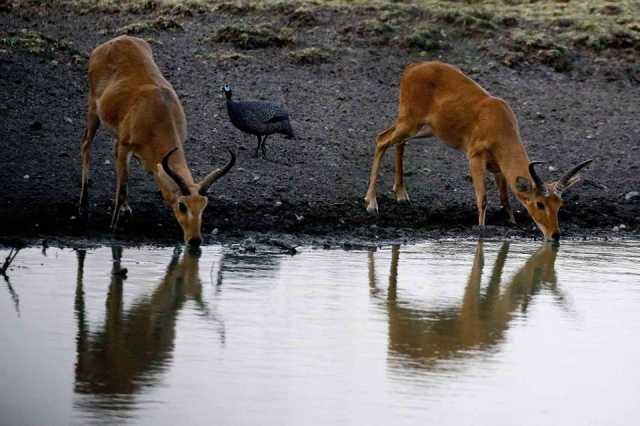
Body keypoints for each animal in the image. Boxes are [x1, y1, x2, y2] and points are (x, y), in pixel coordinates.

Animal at [79, 35, 235, 246]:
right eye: (182, 205)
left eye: (203, 206)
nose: (195, 240)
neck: (157, 112)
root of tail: (116, 40)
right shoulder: (125, 146)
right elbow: (121, 190)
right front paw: (113, 229)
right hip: (93, 112)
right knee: (86, 145)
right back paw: (83, 202)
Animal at [364, 62, 596, 243]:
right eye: (540, 203)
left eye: (560, 204)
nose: (555, 235)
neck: (499, 124)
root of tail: (411, 68)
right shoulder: (475, 158)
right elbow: (482, 197)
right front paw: (482, 228)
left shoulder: (499, 168)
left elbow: (505, 198)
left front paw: (511, 222)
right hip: (410, 121)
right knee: (381, 139)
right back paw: (371, 203)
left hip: (423, 128)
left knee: (398, 143)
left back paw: (401, 193)